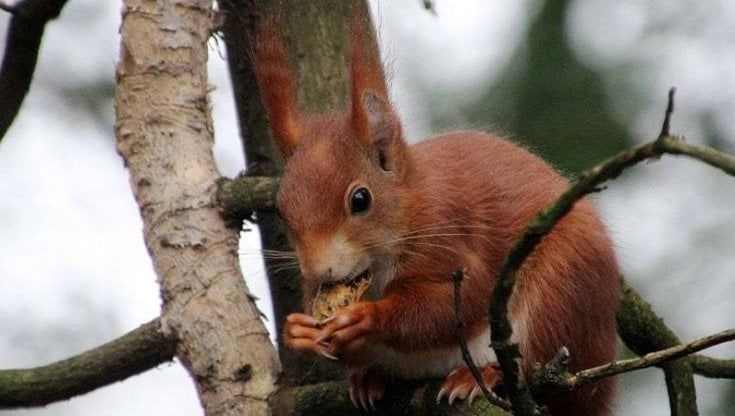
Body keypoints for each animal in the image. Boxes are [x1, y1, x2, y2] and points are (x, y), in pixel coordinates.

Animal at [252, 12, 620, 416]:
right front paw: (298, 333)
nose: (319, 270)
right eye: (281, 210)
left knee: (538, 361)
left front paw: (367, 318)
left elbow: (458, 301)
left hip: (562, 289)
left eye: (360, 199)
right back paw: (369, 378)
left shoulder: (449, 235)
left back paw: (484, 375)